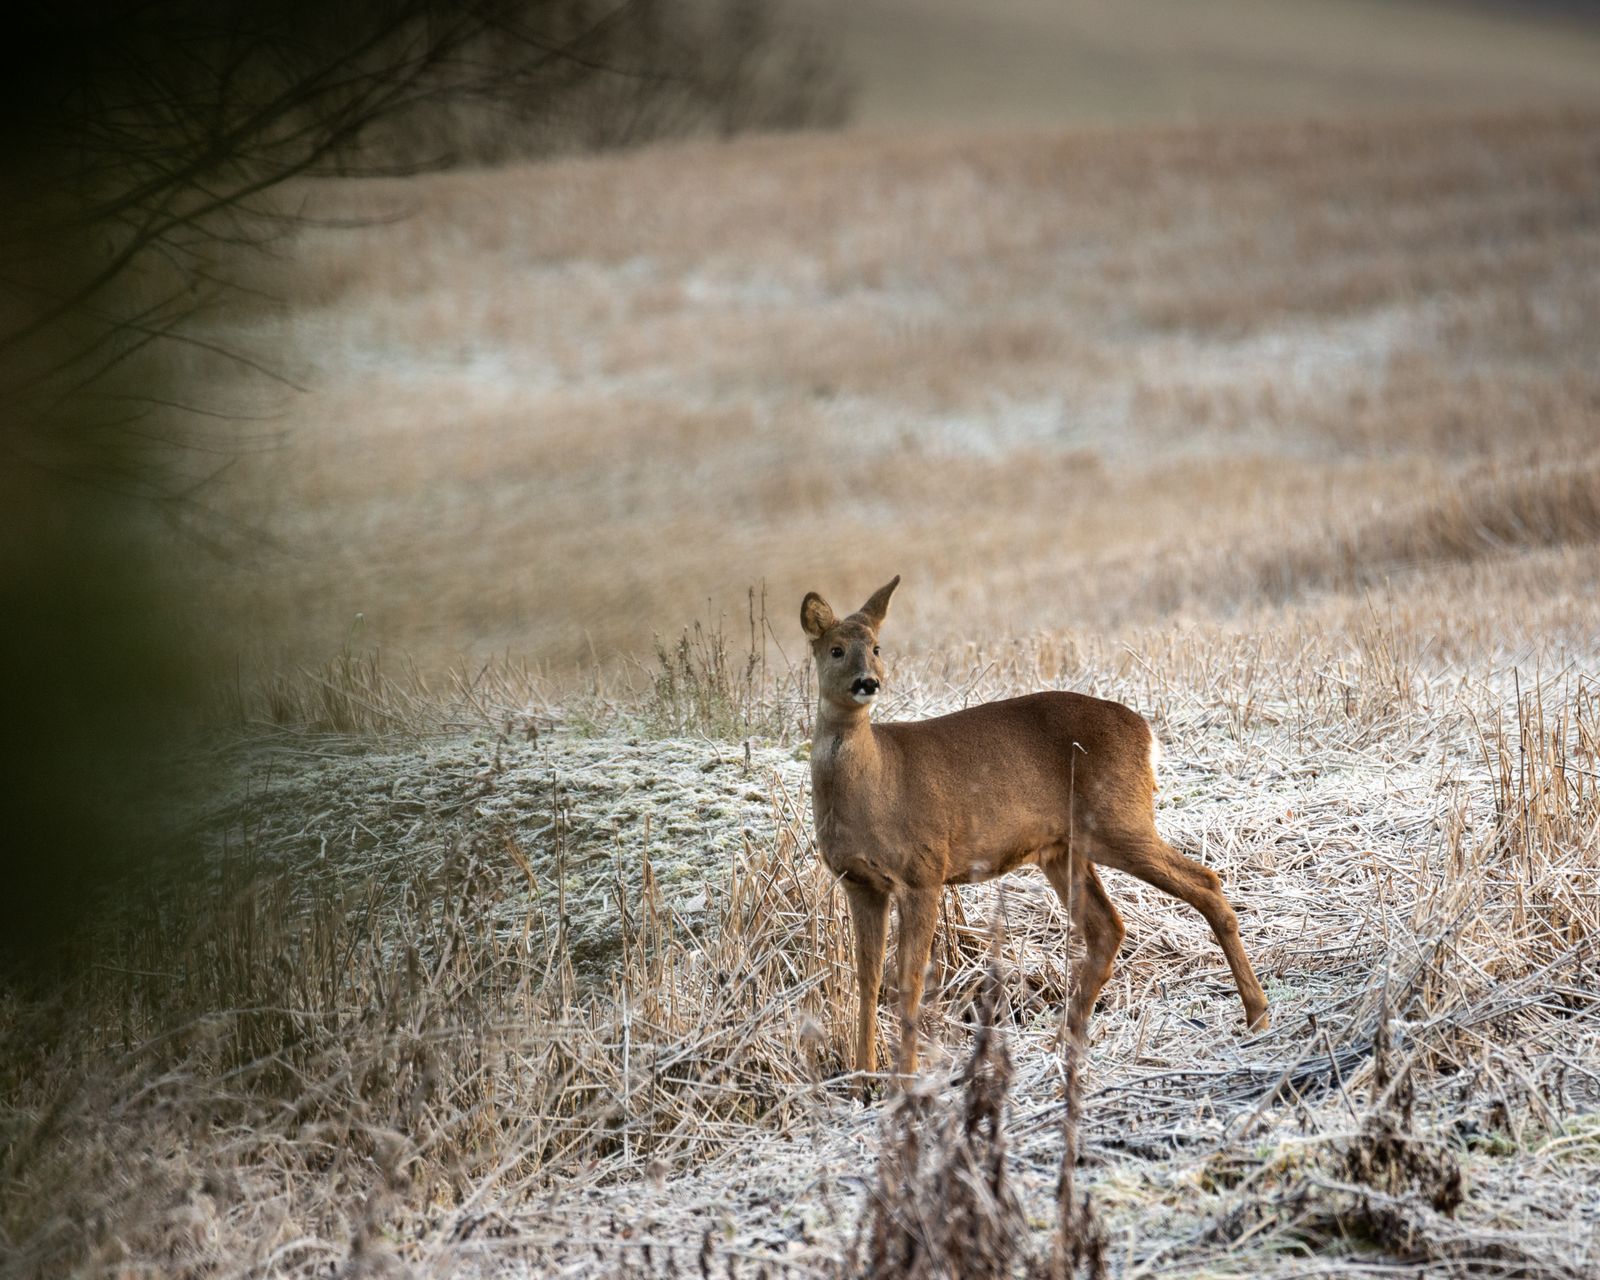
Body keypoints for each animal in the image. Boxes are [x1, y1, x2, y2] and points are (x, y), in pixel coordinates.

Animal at [801, 575, 1270, 1082]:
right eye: (835, 649)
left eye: (877, 646)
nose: (868, 682)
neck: (875, 782)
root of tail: (1146, 733)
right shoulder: (859, 881)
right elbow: (866, 977)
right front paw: (861, 1077)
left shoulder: (923, 869)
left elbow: (907, 981)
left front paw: (903, 1079)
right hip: (1064, 847)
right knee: (1107, 928)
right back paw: (1065, 1042)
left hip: (1118, 820)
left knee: (1204, 881)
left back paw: (1257, 1014)